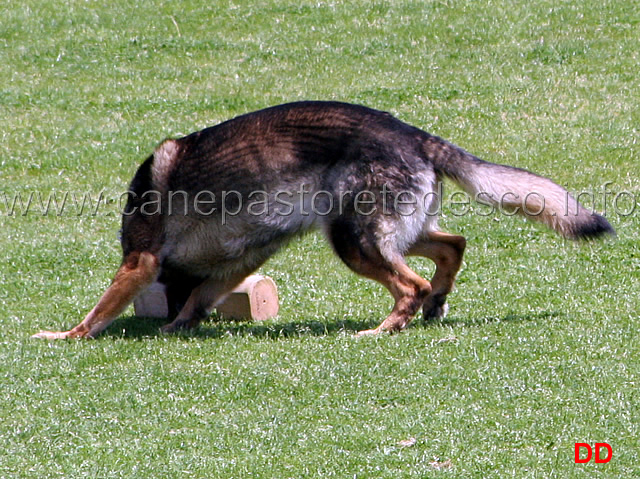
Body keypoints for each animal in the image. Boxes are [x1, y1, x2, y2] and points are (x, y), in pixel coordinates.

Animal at [32, 102, 612, 338]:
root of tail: (415, 136)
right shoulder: (233, 266)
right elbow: (199, 296)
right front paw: (178, 326)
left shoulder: (140, 259)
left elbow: (99, 311)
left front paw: (67, 335)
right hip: (393, 231)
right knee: (452, 246)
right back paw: (436, 304)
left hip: (354, 240)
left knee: (412, 283)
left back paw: (384, 328)